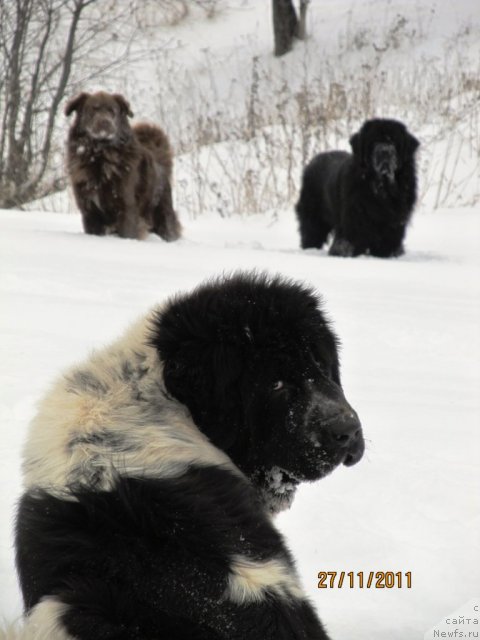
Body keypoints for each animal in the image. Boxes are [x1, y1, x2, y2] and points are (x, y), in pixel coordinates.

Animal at [64, 94, 181, 244]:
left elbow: (127, 234)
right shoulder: (89, 211)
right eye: (93, 109)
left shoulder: (127, 208)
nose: (105, 122)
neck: (100, 156)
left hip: (162, 216)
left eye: (112, 111)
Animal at [296, 117, 420, 258]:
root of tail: (312, 162)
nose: (384, 151)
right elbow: (348, 242)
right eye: (374, 141)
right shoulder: (353, 222)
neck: (380, 191)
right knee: (310, 234)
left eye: (394, 141)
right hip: (313, 219)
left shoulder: (394, 224)